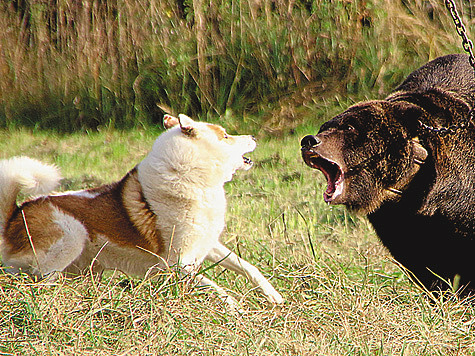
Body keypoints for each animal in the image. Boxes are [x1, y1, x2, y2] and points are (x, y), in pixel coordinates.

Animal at [0, 114, 282, 306]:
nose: (254, 137)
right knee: (40, 280)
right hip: (72, 235)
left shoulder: (207, 244)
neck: (190, 177)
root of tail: (13, 217)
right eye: (225, 135)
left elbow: (248, 268)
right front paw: (237, 309)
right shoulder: (177, 264)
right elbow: (216, 288)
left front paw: (274, 297)